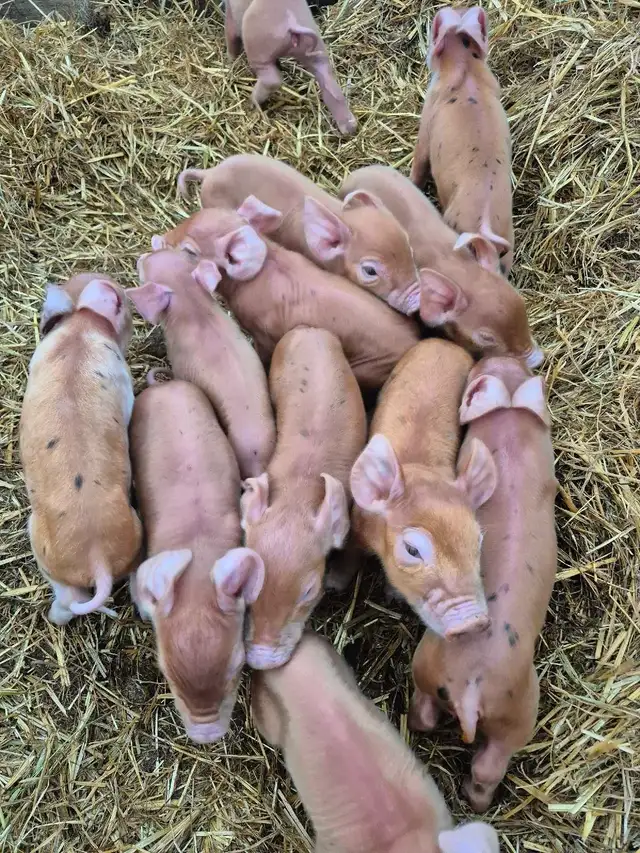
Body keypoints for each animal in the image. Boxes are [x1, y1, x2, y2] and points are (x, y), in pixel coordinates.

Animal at [225, 0, 356, 135]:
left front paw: (230, 60)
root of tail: (292, 22)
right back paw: (350, 129)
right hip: (317, 48)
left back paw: (252, 103)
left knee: (272, 80)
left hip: (258, 49)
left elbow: (231, 33)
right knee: (330, 85)